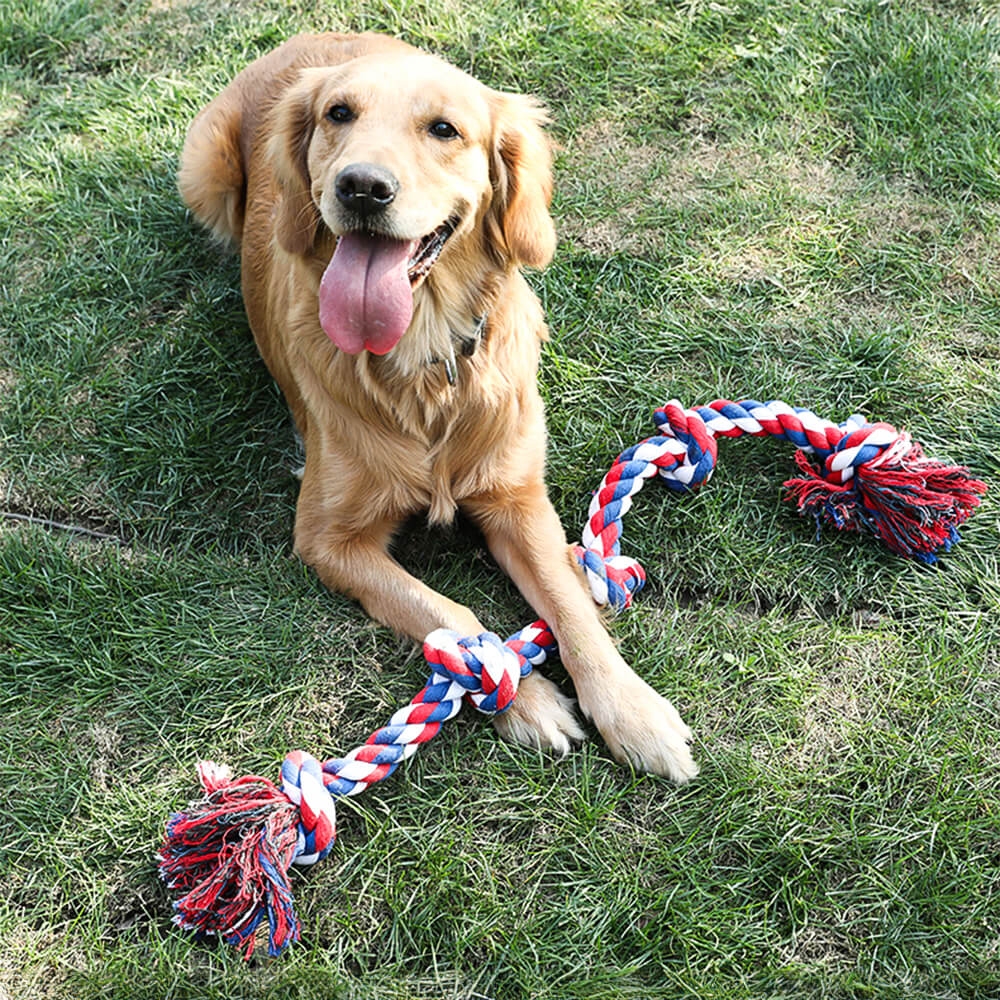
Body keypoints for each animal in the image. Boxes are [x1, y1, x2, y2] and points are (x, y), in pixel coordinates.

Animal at [178, 31, 696, 780]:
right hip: (202, 168)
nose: (362, 187)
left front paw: (634, 712)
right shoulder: (328, 540)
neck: (424, 364)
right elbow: (447, 612)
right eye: (339, 114)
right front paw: (521, 695)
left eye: (444, 130)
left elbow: (571, 605)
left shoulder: (517, 498)